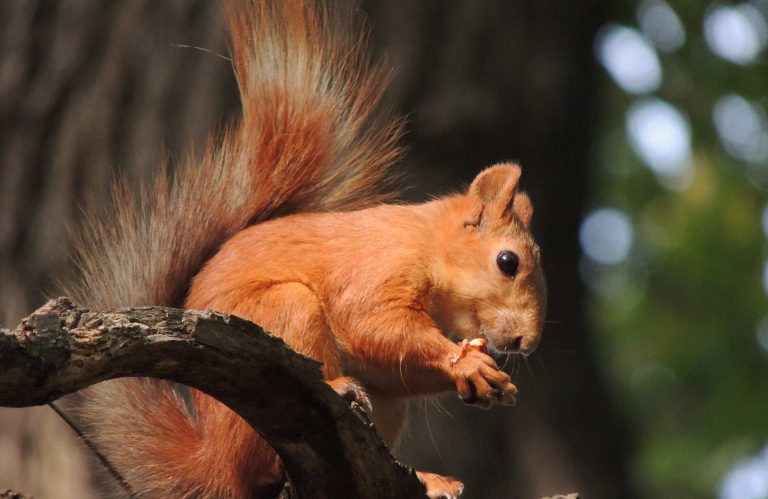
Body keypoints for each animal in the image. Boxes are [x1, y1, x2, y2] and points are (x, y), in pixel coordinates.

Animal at [68, 1, 547, 498]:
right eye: (508, 262)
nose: (527, 343)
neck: (426, 245)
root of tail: (216, 463)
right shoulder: (378, 268)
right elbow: (372, 324)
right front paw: (466, 362)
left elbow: (391, 362)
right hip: (285, 314)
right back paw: (334, 392)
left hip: (384, 405)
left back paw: (428, 480)